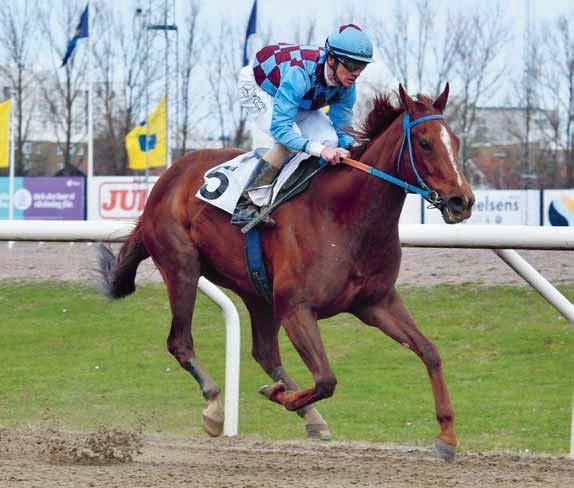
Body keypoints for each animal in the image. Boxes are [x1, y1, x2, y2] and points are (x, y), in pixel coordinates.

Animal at [99, 82, 476, 460]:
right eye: (425, 143)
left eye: (456, 142)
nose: (463, 201)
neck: (343, 216)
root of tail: (167, 179)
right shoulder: (297, 308)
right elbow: (326, 379)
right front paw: (277, 394)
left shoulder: (376, 302)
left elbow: (429, 351)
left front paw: (447, 436)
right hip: (183, 268)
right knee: (181, 342)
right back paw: (216, 406)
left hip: (257, 292)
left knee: (264, 352)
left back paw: (310, 416)